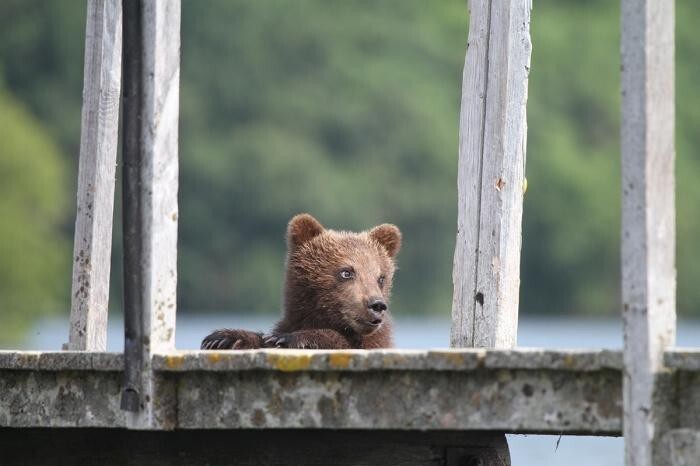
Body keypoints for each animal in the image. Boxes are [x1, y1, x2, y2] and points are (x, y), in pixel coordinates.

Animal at [200, 213, 402, 348]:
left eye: (381, 277)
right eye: (346, 272)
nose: (376, 305)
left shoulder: (372, 342)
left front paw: (290, 339)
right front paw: (224, 337)